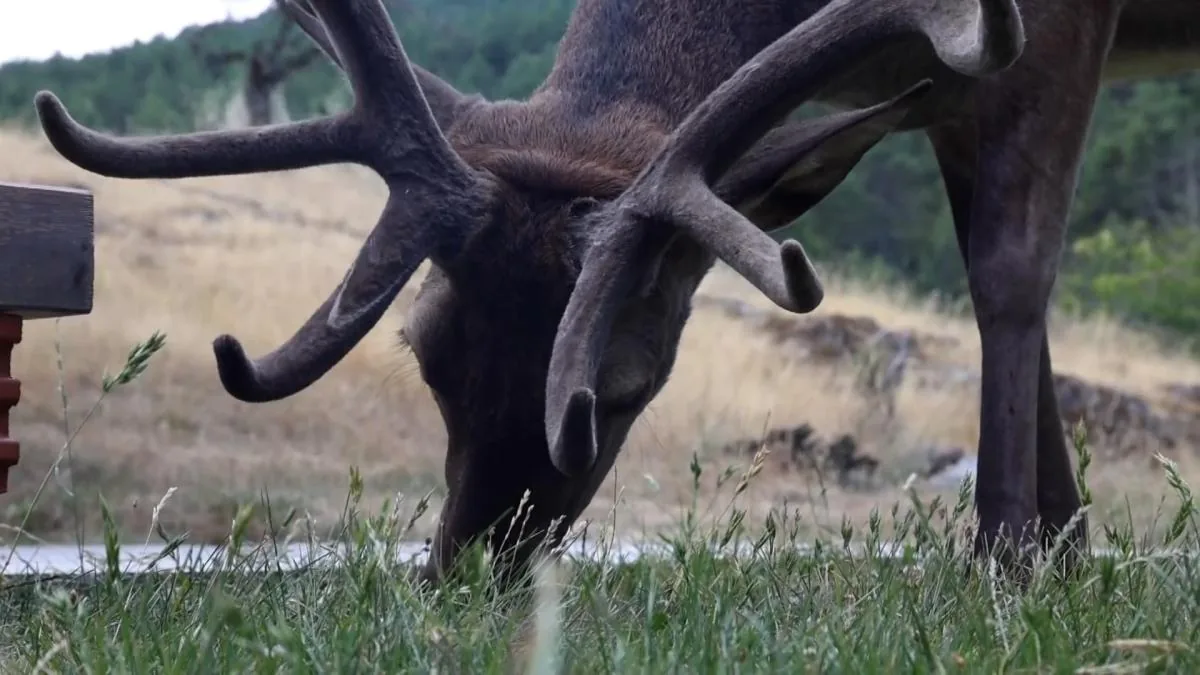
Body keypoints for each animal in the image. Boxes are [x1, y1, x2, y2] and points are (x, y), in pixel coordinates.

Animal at [29, 0, 1198, 588]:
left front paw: (1011, 565)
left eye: (623, 390)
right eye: (427, 356)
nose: (467, 575)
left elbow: (1010, 273)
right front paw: (1068, 547)